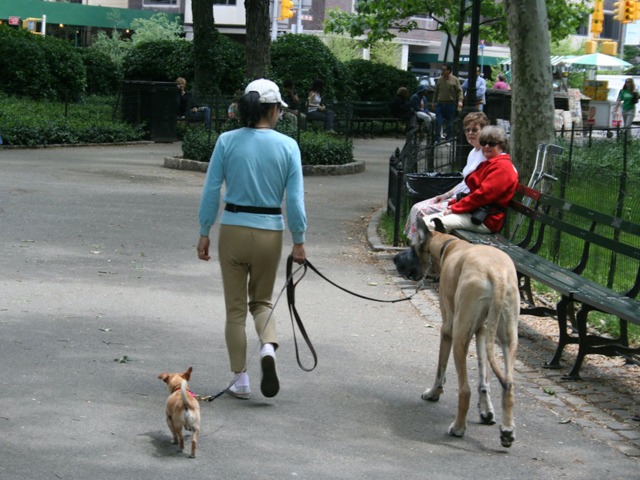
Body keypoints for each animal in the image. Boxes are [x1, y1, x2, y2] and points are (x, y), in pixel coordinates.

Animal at [396, 218, 520, 446]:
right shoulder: (482, 331)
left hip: (460, 337)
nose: (394, 258)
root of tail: (496, 274)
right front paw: (486, 411)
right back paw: (507, 430)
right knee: (508, 384)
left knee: (465, 390)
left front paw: (434, 392)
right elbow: (483, 377)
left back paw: (458, 427)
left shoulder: (447, 329)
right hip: (507, 338)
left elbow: (440, 369)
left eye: (411, 246)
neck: (449, 244)